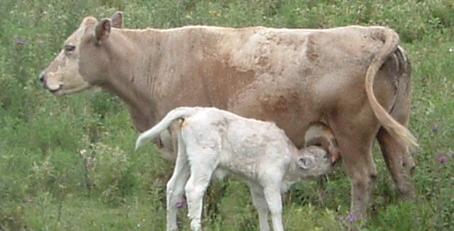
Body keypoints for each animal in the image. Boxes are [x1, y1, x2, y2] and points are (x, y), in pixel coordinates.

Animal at [40, 12, 418, 220]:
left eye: (69, 47)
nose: (43, 78)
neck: (156, 60)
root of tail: (373, 33)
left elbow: (194, 189)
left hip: (353, 134)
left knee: (363, 177)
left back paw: (354, 219)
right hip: (391, 128)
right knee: (402, 171)